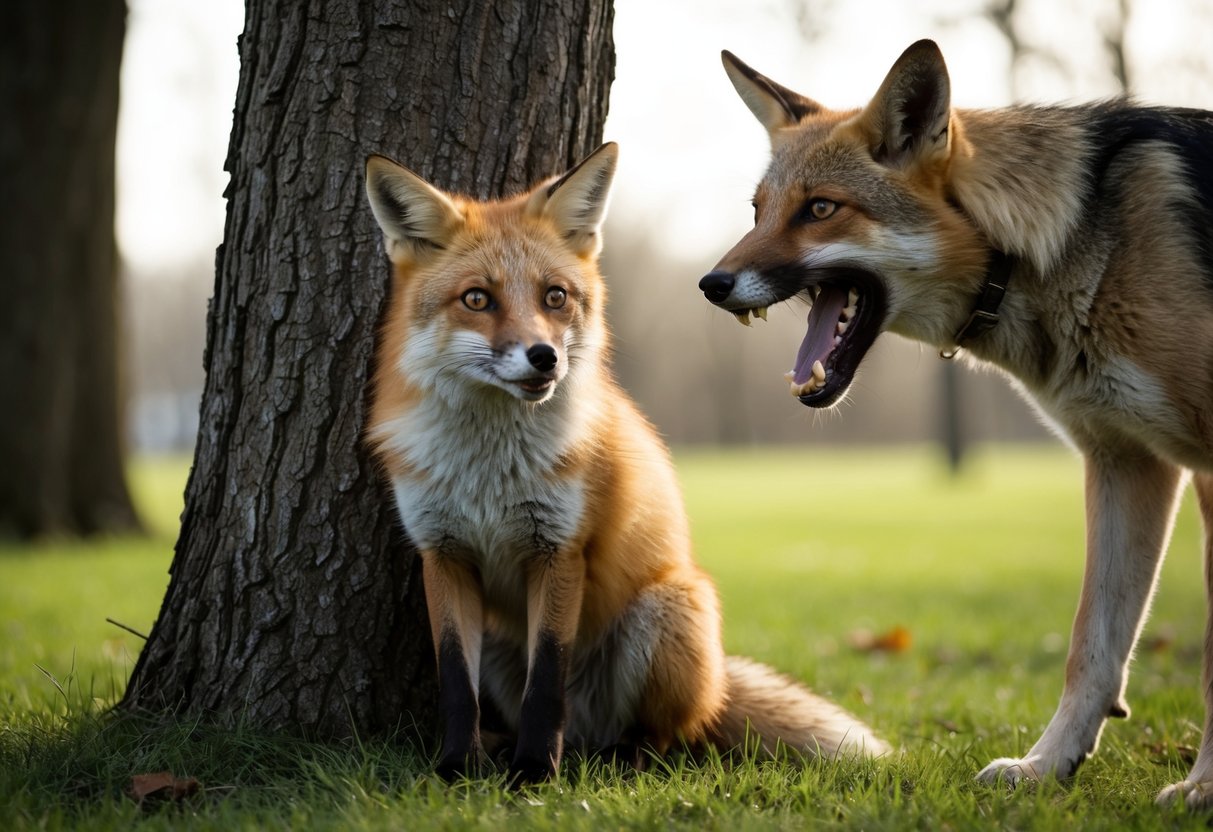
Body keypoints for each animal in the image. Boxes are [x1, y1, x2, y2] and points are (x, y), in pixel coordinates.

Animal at [362, 142, 888, 784]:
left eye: (555, 296)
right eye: (477, 299)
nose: (545, 357)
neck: (488, 470)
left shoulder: (560, 551)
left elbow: (547, 681)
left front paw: (534, 773)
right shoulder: (443, 555)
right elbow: (456, 683)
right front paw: (457, 768)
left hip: (672, 606)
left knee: (670, 737)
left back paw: (618, 757)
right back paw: (514, 747)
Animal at [696, 39, 1213, 807]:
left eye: (819, 208)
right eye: (758, 211)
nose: (710, 284)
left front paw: (1204, 786)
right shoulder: (1125, 460)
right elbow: (1090, 647)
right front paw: (1046, 766)